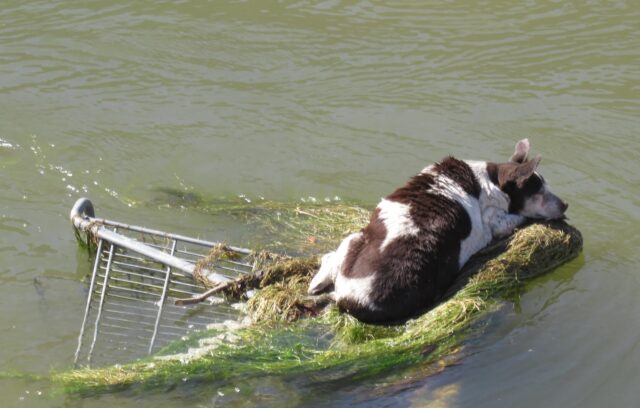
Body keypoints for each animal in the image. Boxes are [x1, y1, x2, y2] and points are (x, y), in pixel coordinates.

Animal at [308, 139, 568, 324]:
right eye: (539, 191)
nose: (566, 205)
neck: (491, 182)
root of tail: (348, 298)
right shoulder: (496, 222)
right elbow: (516, 217)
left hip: (355, 238)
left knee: (331, 257)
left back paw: (317, 283)